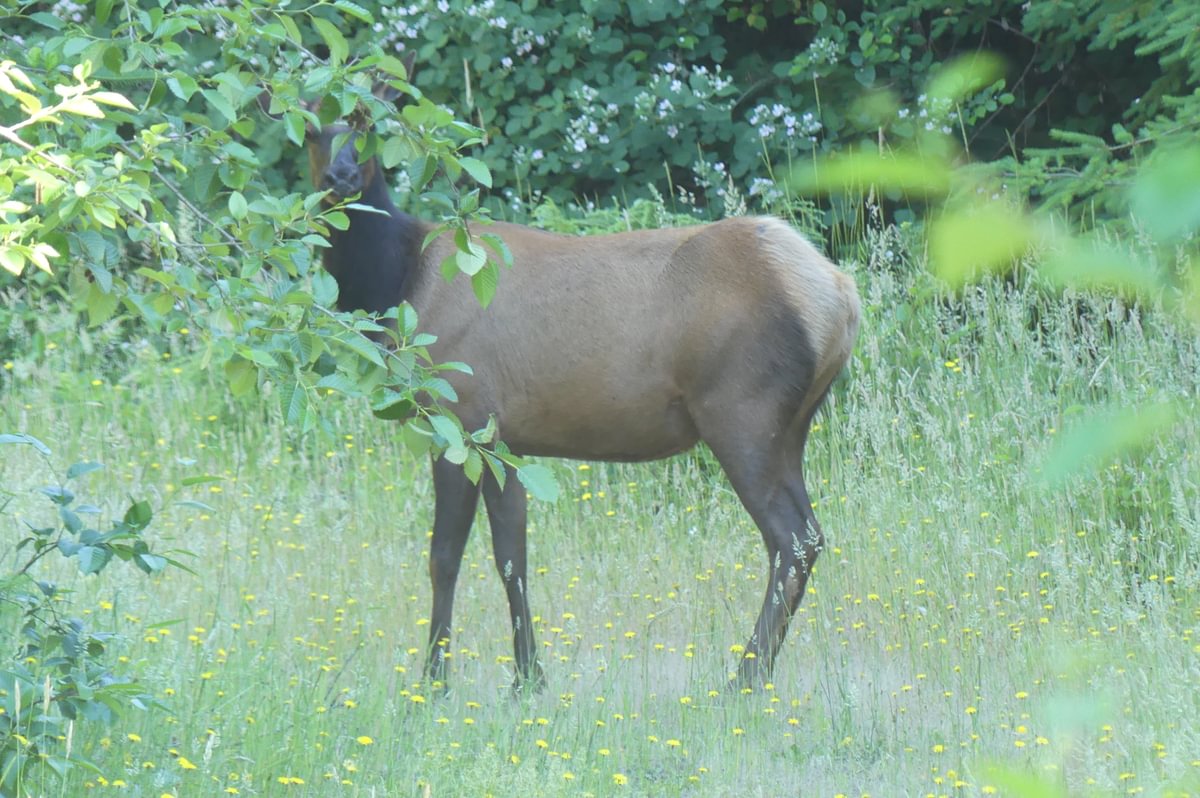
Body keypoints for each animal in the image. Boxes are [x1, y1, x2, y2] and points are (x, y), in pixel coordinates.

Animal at [287, 97, 861, 692]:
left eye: (367, 130)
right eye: (311, 131)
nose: (340, 177)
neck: (397, 285)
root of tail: (843, 295)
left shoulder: (459, 415)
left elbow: (443, 556)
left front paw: (434, 682)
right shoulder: (505, 437)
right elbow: (511, 556)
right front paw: (528, 679)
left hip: (742, 410)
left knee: (792, 537)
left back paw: (741, 679)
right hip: (792, 425)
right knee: (808, 535)